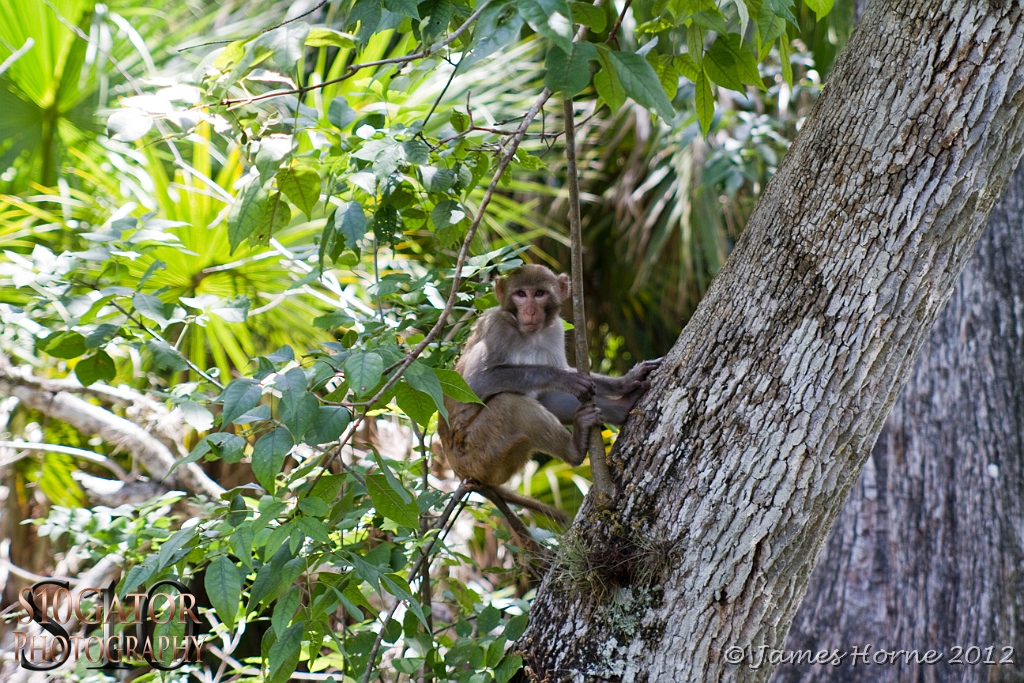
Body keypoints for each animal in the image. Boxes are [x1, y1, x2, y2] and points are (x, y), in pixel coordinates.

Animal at [436, 266, 659, 524]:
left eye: (539, 293)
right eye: (521, 294)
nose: (530, 311)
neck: (528, 333)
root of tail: (460, 472)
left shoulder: (555, 329)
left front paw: (624, 383)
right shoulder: (498, 326)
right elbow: (475, 383)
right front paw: (563, 377)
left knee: (542, 398)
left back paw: (621, 409)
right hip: (478, 455)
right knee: (510, 404)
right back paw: (575, 449)